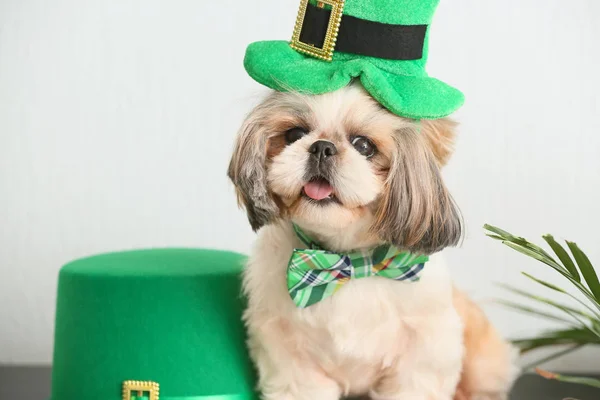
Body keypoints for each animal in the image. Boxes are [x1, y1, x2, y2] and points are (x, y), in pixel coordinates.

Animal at [227, 84, 516, 400]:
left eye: (364, 146)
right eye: (294, 134)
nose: (322, 147)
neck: (351, 262)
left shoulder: (424, 353)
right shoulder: (290, 356)